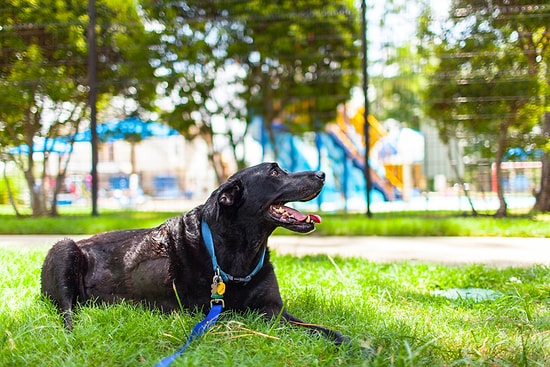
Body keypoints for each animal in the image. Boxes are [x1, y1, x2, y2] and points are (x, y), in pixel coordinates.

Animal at [42, 162, 350, 346]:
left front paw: (352, 344)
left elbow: (321, 328)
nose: (322, 174)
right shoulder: (239, 314)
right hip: (64, 250)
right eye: (275, 173)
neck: (238, 252)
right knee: (66, 312)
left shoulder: (275, 308)